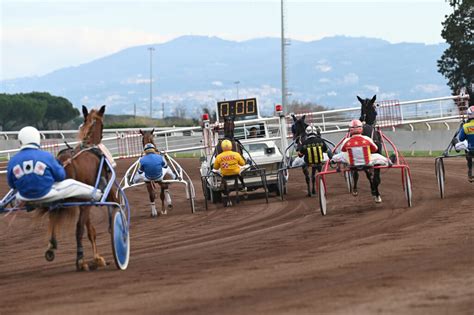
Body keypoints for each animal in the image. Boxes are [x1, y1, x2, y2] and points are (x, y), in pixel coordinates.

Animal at [46, 105, 115, 272]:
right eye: (103, 124)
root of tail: (64, 162)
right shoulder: (97, 197)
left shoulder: (86, 202)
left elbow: (91, 231)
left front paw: (97, 258)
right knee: (78, 229)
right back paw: (80, 260)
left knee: (53, 216)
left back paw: (52, 246)